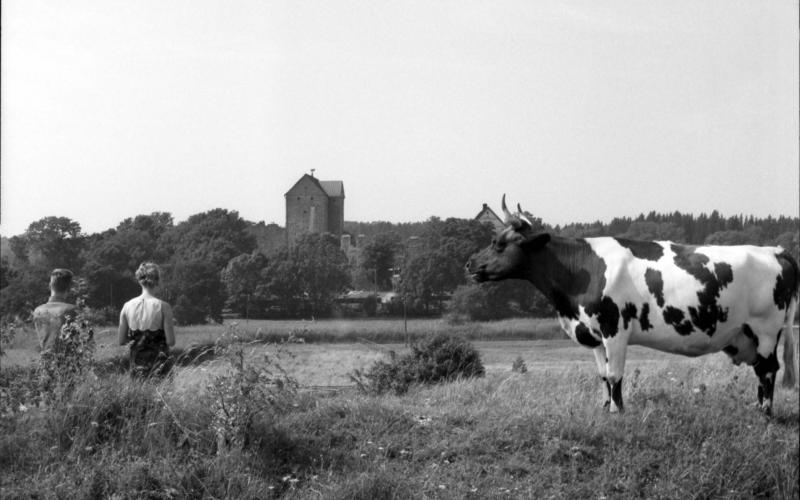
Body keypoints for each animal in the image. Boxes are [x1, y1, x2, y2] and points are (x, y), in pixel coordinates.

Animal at [466, 197, 796, 416]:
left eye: (498, 243)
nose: (469, 263)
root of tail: (775, 250)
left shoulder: (615, 329)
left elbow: (615, 375)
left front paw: (617, 412)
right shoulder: (594, 333)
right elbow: (602, 375)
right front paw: (604, 407)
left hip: (766, 329)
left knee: (769, 369)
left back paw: (764, 413)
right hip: (747, 334)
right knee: (761, 369)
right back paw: (755, 407)